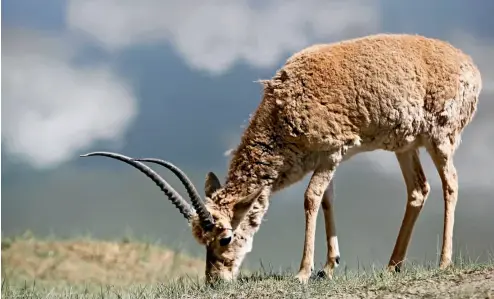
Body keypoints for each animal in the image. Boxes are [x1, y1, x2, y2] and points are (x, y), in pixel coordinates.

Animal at [82, 34, 482, 284]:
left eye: (224, 238)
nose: (215, 281)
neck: (282, 108)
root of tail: (471, 67)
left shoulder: (333, 150)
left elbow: (310, 199)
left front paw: (304, 272)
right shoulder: (324, 159)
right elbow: (328, 200)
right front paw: (328, 268)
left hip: (441, 137)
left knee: (450, 184)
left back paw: (444, 261)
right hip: (405, 145)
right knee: (418, 189)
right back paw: (391, 266)